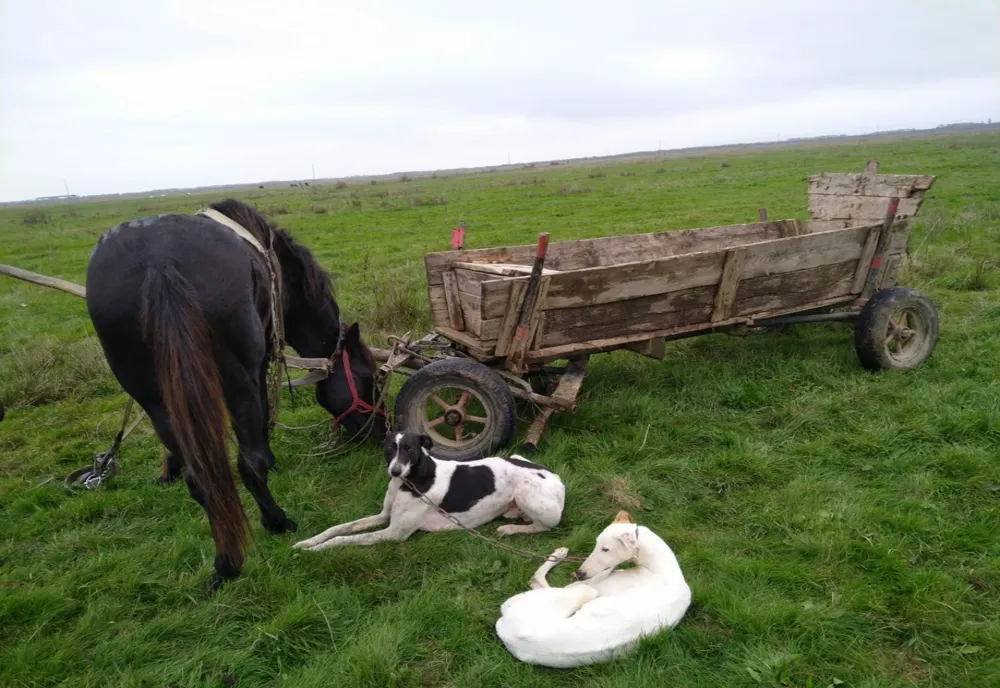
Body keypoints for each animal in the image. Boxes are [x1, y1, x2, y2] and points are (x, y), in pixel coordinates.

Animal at [84, 198, 388, 588]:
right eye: (369, 378)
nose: (380, 432)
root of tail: (159, 260)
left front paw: (169, 469)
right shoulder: (261, 361)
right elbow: (263, 416)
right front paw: (272, 460)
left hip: (151, 392)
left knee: (201, 478)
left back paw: (226, 561)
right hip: (236, 375)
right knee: (247, 464)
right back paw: (276, 522)